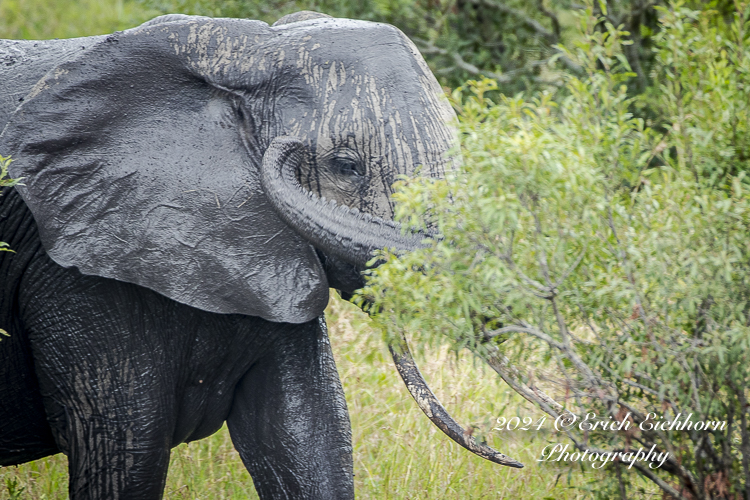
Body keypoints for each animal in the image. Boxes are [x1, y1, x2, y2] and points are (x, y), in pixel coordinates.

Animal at [0, 9, 524, 498]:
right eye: (346, 166)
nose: (517, 462)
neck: (243, 50)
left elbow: (309, 435)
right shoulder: (72, 273)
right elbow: (126, 457)